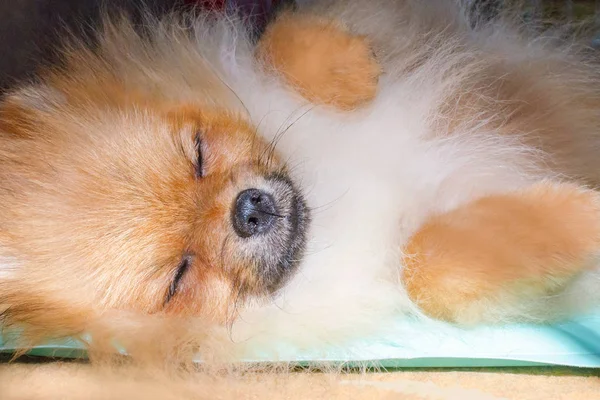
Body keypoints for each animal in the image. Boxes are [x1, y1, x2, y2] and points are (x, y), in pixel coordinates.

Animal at [1, 0, 600, 362]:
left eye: (199, 152)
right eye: (179, 276)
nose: (248, 210)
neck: (327, 195)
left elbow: (280, 31)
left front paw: (347, 67)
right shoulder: (399, 279)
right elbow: (428, 270)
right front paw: (579, 218)